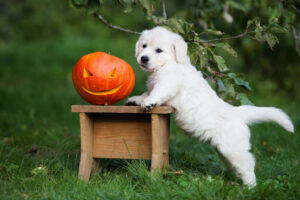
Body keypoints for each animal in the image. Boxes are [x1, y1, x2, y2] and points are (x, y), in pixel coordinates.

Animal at [125, 26, 294, 186]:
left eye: (159, 50)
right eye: (144, 46)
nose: (143, 58)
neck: (169, 63)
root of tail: (237, 113)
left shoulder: (169, 82)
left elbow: (157, 91)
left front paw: (149, 103)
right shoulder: (154, 84)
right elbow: (146, 92)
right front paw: (134, 100)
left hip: (232, 148)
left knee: (248, 164)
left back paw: (249, 186)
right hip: (226, 152)